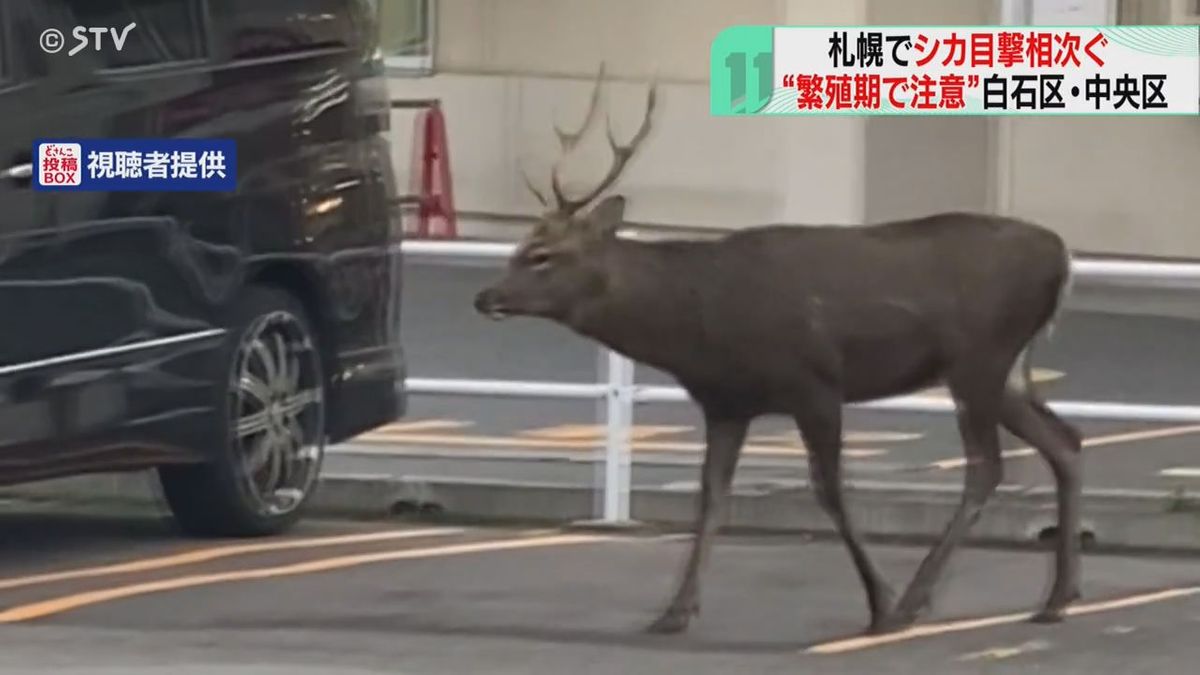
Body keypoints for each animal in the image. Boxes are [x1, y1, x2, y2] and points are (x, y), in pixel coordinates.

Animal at [472, 64, 1084, 634]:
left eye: (543, 255)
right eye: (521, 246)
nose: (485, 296)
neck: (700, 322)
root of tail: (1061, 257)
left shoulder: (815, 383)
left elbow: (830, 491)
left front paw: (879, 602)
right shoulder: (724, 403)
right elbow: (711, 497)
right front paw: (675, 610)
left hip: (980, 358)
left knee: (987, 467)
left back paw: (916, 601)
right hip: (1006, 371)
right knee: (1065, 442)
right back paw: (1058, 597)